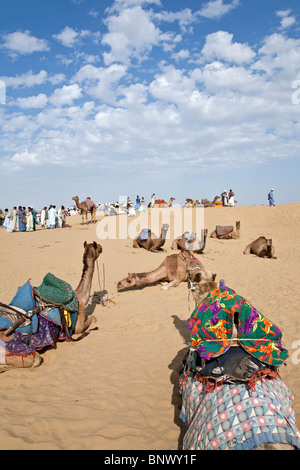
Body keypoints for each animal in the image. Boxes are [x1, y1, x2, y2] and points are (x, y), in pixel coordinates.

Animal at [0, 242, 102, 370]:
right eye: (97, 247)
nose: (102, 248)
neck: (82, 297)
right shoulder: (78, 323)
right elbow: (92, 319)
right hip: (19, 352)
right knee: (35, 360)